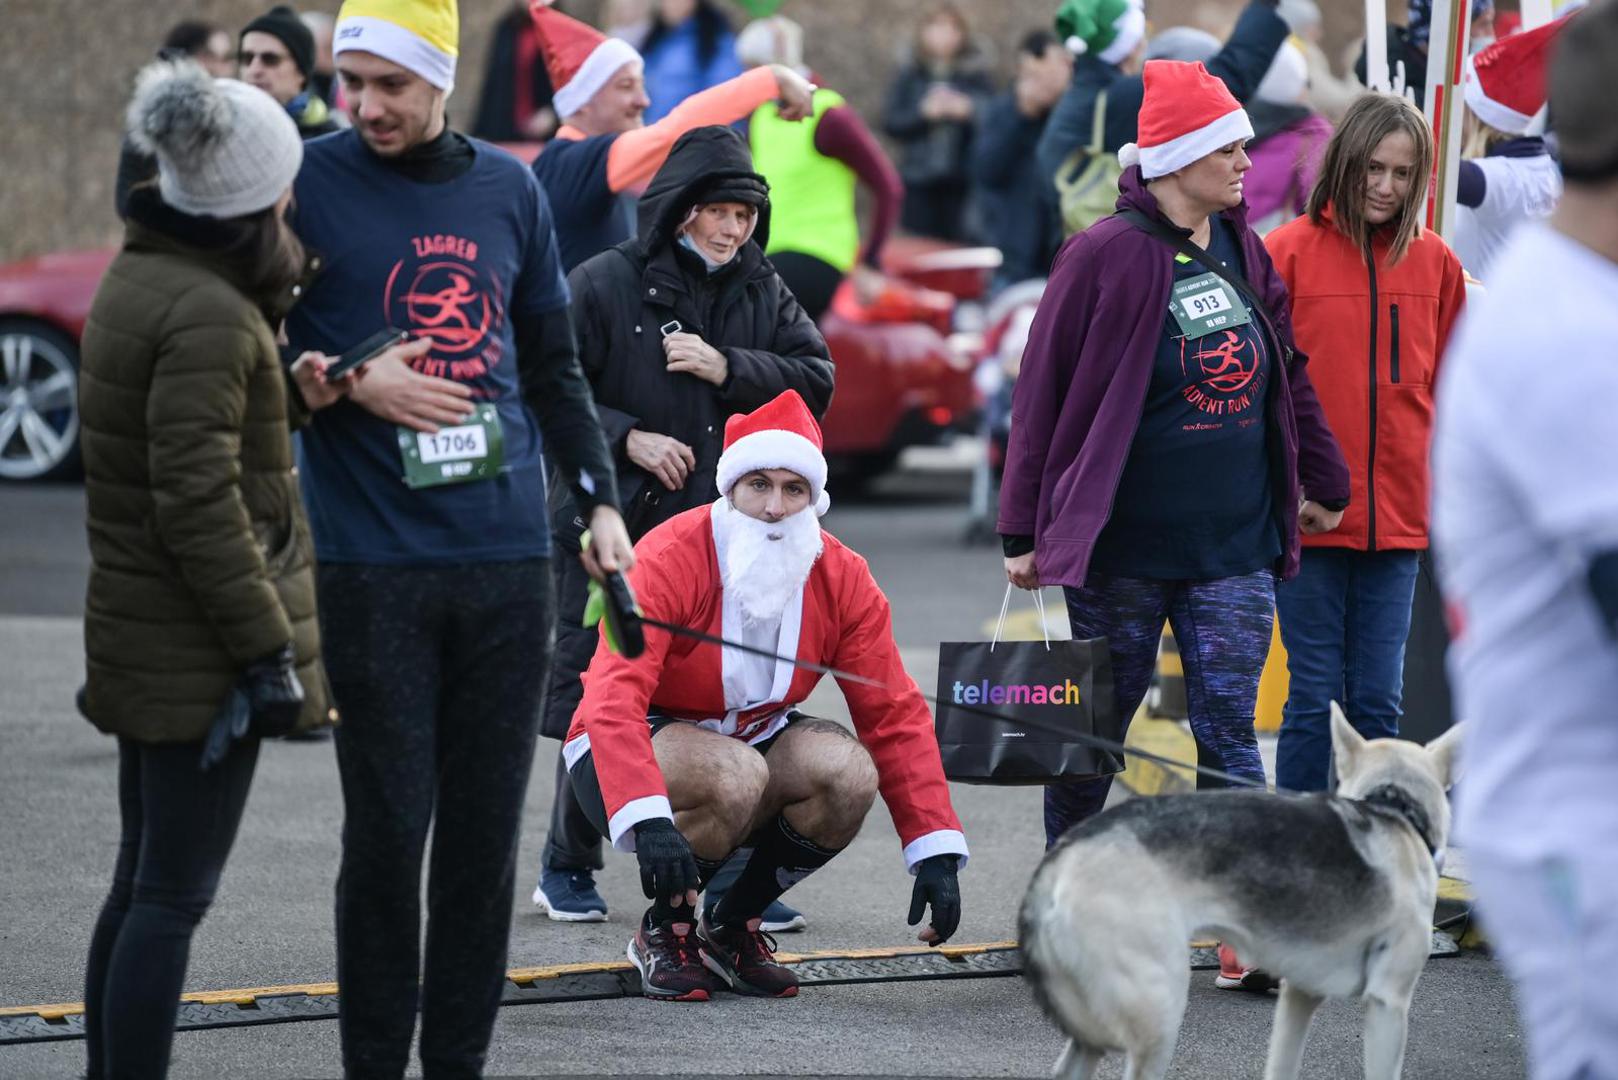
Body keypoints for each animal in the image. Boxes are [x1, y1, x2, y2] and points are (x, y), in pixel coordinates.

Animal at [1022, 705, 1469, 1075]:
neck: (1394, 810)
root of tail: (1061, 858)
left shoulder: (1298, 998)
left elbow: (1282, 1065)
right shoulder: (1387, 1004)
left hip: (1094, 1036)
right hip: (1158, 1016)